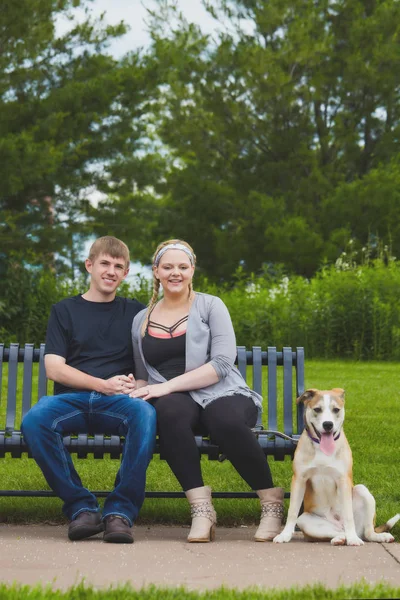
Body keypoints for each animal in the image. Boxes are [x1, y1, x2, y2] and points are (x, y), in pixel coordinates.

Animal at [274, 386, 398, 548]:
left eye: (336, 410)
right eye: (317, 409)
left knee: (367, 532)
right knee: (336, 532)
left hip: (362, 491)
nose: (328, 424)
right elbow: (292, 511)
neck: (322, 449)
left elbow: (348, 514)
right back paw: (340, 538)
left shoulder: (343, 480)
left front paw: (353, 539)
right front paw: (285, 535)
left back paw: (373, 536)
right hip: (306, 521)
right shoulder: (299, 479)